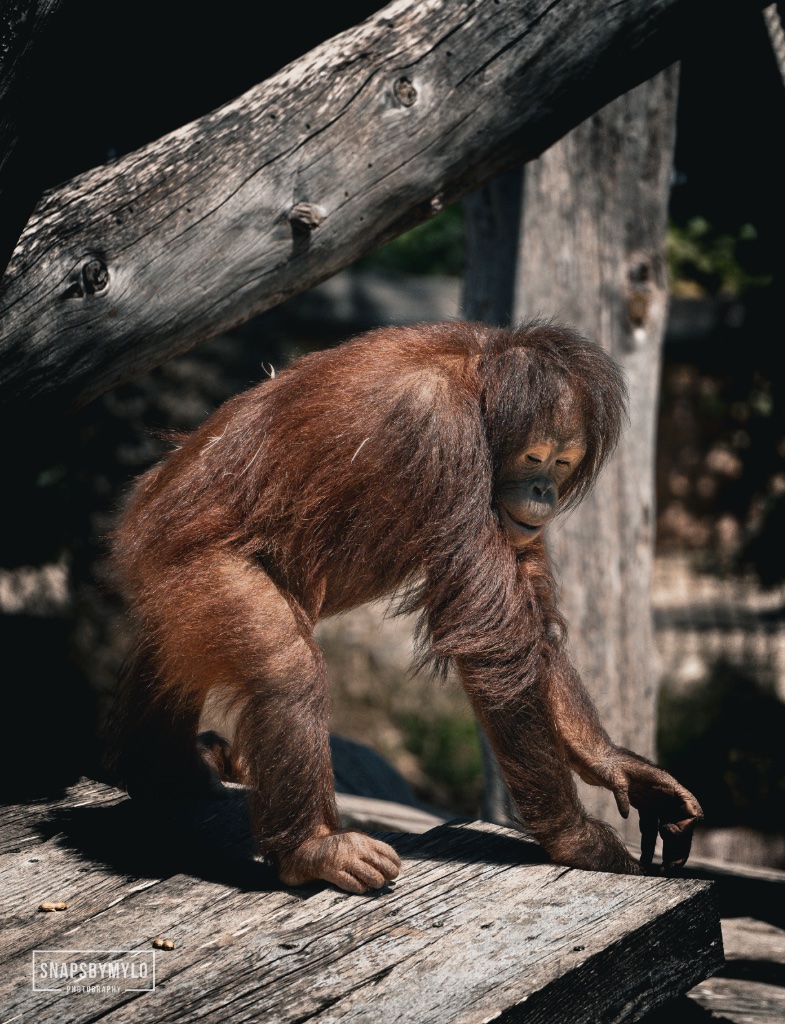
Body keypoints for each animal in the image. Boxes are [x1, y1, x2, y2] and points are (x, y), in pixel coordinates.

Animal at [105, 320, 702, 893]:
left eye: (562, 463)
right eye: (534, 458)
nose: (542, 491)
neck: (477, 385)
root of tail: (138, 516)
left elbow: (525, 620)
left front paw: (618, 764)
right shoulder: (445, 437)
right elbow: (493, 643)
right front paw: (576, 840)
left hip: (176, 586)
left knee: (173, 655)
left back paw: (167, 776)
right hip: (196, 562)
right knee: (285, 669)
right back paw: (312, 851)